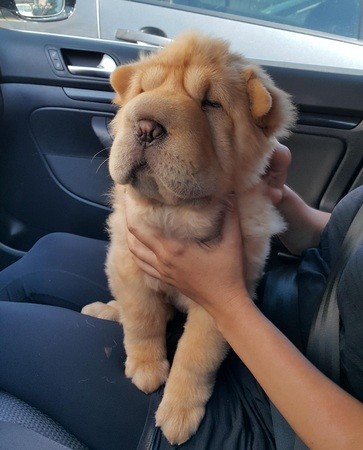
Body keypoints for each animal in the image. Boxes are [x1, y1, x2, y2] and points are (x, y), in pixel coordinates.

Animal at [83, 33, 298, 444]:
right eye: (143, 91)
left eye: (210, 103)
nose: (146, 126)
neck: (175, 215)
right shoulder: (129, 267)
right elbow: (142, 321)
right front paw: (146, 370)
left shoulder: (223, 297)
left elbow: (196, 356)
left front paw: (178, 413)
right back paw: (104, 309)